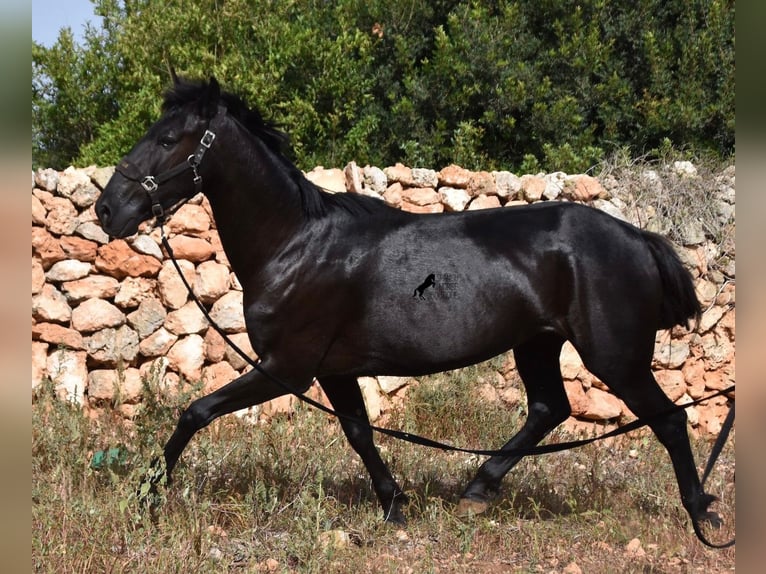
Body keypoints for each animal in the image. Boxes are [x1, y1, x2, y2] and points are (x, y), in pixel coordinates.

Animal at [94, 76, 720, 536]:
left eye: (168, 138)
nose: (107, 210)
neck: (295, 245)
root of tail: (637, 237)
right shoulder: (333, 370)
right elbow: (359, 433)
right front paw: (395, 505)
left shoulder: (287, 368)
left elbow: (195, 412)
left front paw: (148, 494)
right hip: (537, 343)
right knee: (550, 408)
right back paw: (477, 490)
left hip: (613, 356)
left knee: (667, 419)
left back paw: (701, 512)